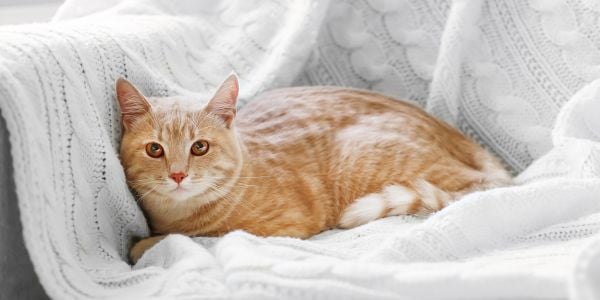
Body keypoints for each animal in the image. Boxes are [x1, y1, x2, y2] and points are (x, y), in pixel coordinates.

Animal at [117, 74, 510, 262]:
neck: (177, 214)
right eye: (155, 149)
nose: (178, 175)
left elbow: (198, 237)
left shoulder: (280, 228)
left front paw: (144, 245)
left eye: (199, 147)